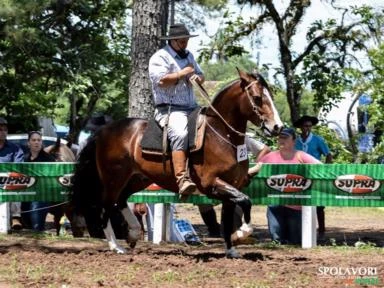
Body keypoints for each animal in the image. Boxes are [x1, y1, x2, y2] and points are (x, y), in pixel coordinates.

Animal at [72, 68, 284, 258]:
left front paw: (231, 250)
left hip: (138, 178)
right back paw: (116, 246)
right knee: (106, 205)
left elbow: (231, 215)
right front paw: (242, 233)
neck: (222, 135)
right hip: (114, 178)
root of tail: (104, 131)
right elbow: (246, 201)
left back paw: (133, 233)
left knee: (121, 200)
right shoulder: (212, 183)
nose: (278, 127)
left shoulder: (230, 188)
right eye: (257, 97)